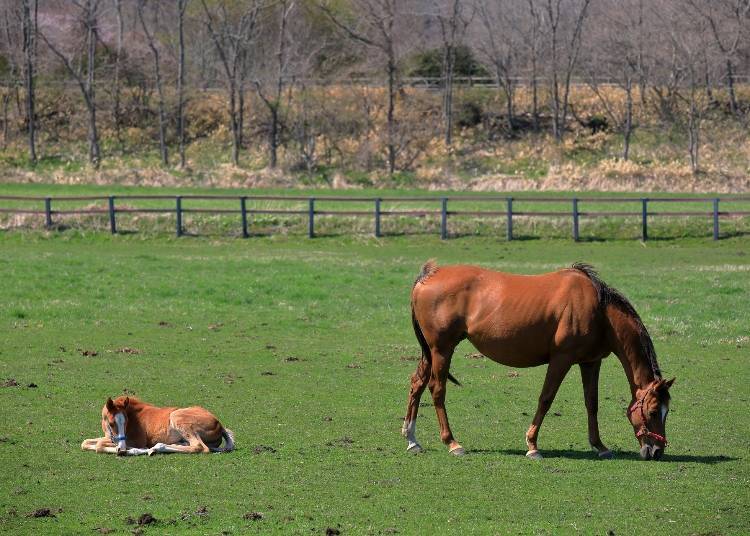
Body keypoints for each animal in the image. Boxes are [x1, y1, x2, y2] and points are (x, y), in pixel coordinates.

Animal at [80, 394, 234, 456]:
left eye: (127, 422)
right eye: (112, 423)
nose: (122, 449)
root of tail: (219, 423)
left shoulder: (137, 440)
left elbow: (99, 445)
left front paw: (135, 450)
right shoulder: (110, 437)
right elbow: (85, 442)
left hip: (177, 416)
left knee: (200, 447)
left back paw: (157, 448)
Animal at [402, 260, 680, 460]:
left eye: (667, 411)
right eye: (653, 411)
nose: (657, 451)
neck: (599, 311)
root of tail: (428, 276)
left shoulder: (590, 362)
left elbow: (592, 403)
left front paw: (599, 446)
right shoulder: (561, 359)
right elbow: (546, 399)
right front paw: (532, 445)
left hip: (431, 351)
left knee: (417, 383)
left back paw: (412, 439)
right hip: (442, 350)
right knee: (437, 389)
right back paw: (452, 443)